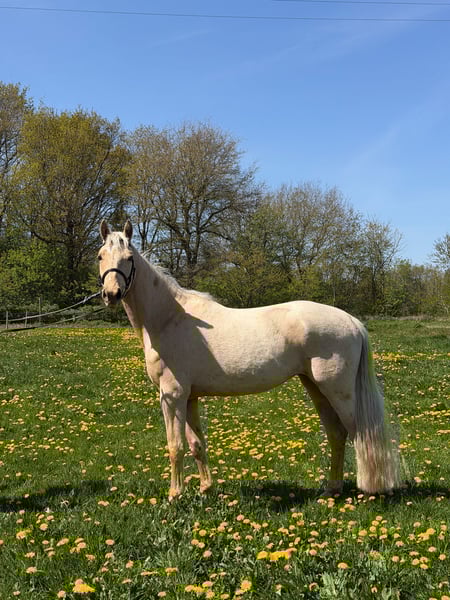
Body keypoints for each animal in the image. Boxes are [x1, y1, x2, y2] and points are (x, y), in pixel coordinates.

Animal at [98, 220, 399, 500]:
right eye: (101, 256)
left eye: (129, 258)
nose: (111, 294)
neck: (169, 318)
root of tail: (351, 321)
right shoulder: (189, 397)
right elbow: (197, 444)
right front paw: (205, 489)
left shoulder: (172, 396)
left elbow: (176, 446)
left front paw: (175, 495)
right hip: (316, 388)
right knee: (337, 434)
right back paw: (331, 490)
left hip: (339, 391)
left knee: (361, 435)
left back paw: (368, 492)